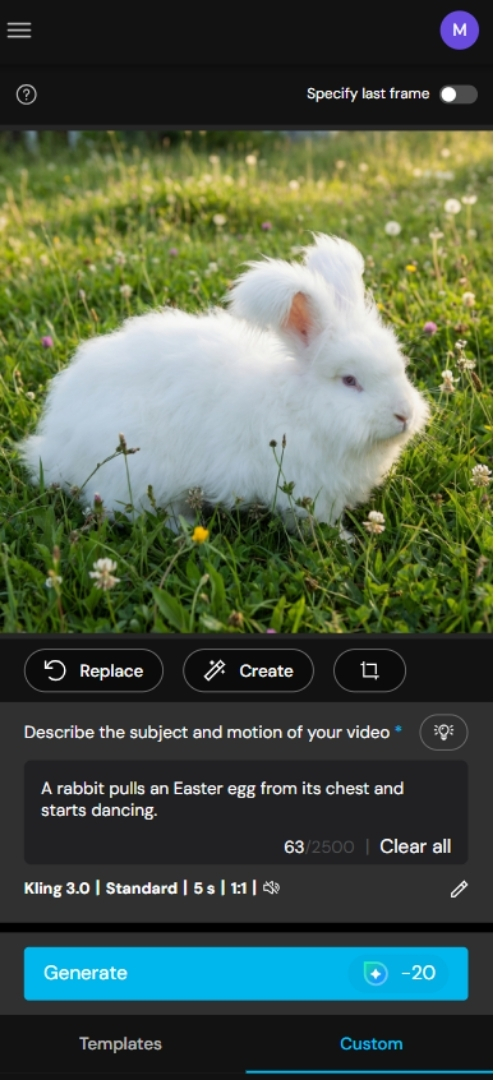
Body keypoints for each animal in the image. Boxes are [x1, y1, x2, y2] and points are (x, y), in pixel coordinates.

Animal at [20, 234, 429, 531]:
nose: (404, 415)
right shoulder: (307, 491)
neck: (299, 407)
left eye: (401, 367)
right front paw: (343, 540)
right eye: (350, 380)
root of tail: (57, 443)